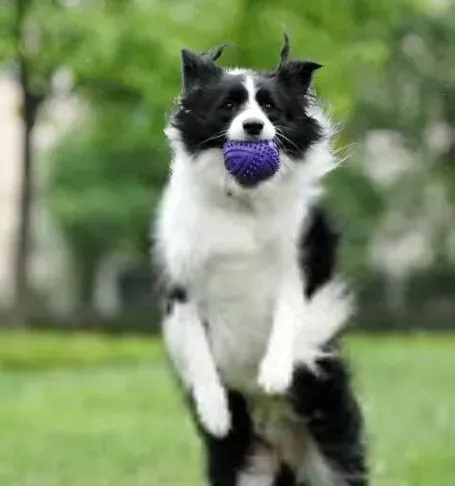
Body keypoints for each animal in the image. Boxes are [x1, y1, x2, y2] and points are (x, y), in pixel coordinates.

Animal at [155, 35, 368, 486]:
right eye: (228, 106)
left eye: (269, 107)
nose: (253, 127)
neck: (243, 201)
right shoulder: (181, 286)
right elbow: (197, 347)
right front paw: (215, 411)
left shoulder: (306, 265)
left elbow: (291, 315)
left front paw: (274, 373)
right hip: (243, 467)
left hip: (334, 456)